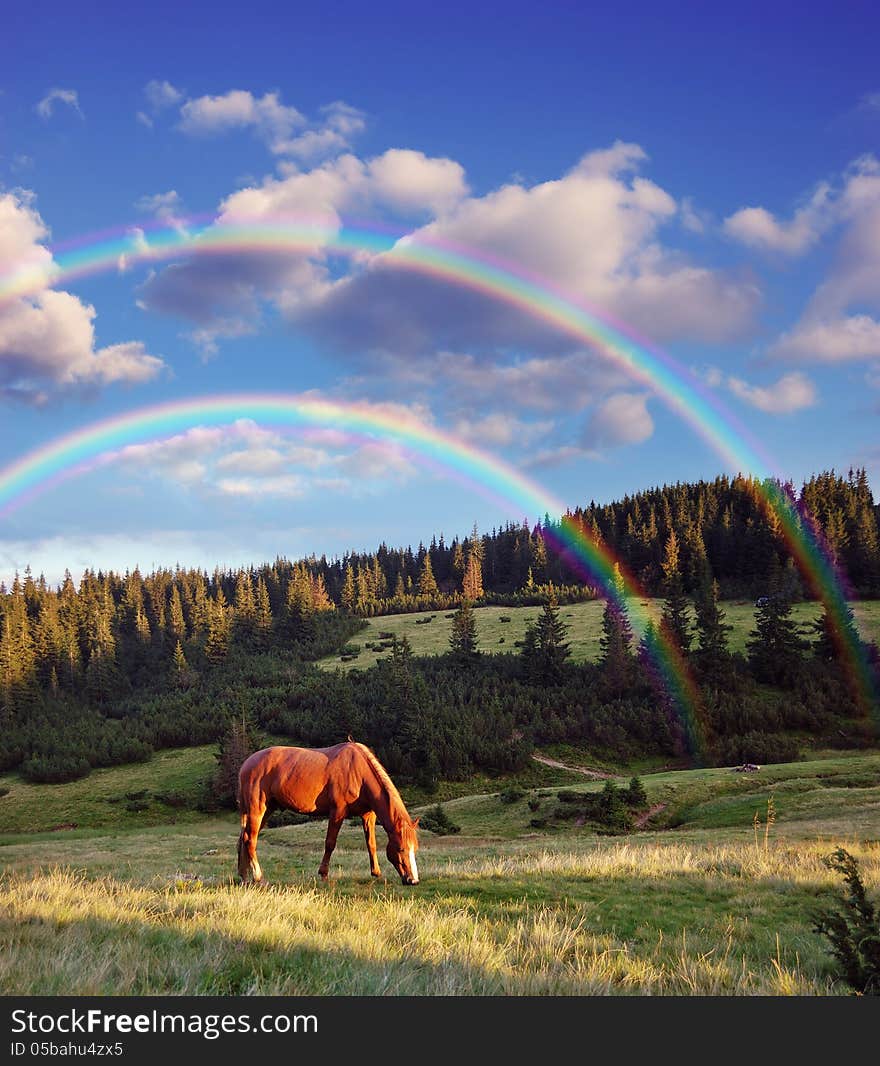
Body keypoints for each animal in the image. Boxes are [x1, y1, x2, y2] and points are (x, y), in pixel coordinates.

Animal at [236, 741, 417, 882]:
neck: (358, 773)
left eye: (414, 849)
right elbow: (330, 843)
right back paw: (258, 876)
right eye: (401, 849)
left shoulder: (368, 815)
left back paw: (244, 876)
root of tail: (246, 764)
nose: (413, 880)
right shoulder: (337, 812)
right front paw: (323, 874)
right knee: (250, 839)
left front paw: (376, 872)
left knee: (243, 839)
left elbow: (371, 843)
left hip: (266, 810)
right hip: (257, 809)